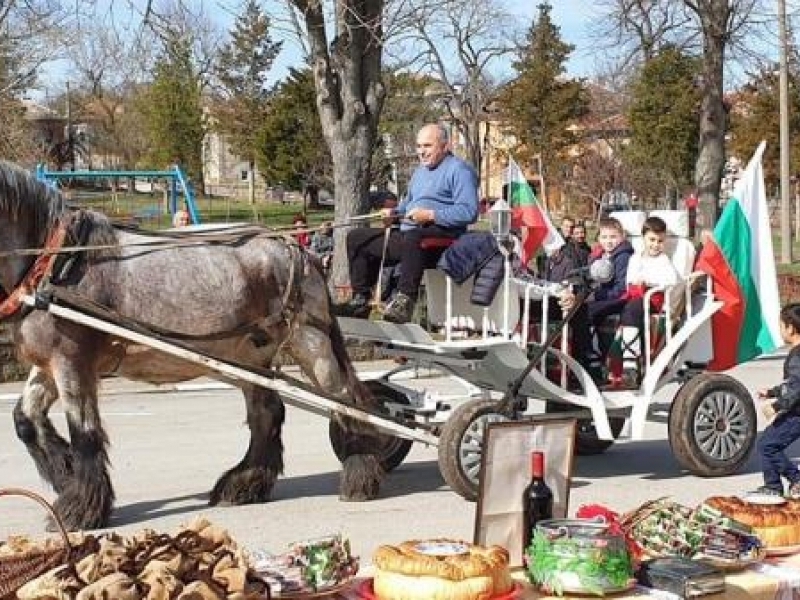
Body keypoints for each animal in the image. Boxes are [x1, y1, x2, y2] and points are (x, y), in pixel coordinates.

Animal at [0, 163, 388, 528]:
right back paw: (243, 484)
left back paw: (359, 476)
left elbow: (84, 432)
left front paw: (79, 508)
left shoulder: (72, 361)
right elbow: (25, 418)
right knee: (267, 412)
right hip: (247, 354)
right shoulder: (49, 362)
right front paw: (63, 473)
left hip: (311, 341)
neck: (56, 259)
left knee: (345, 402)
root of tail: (294, 247)